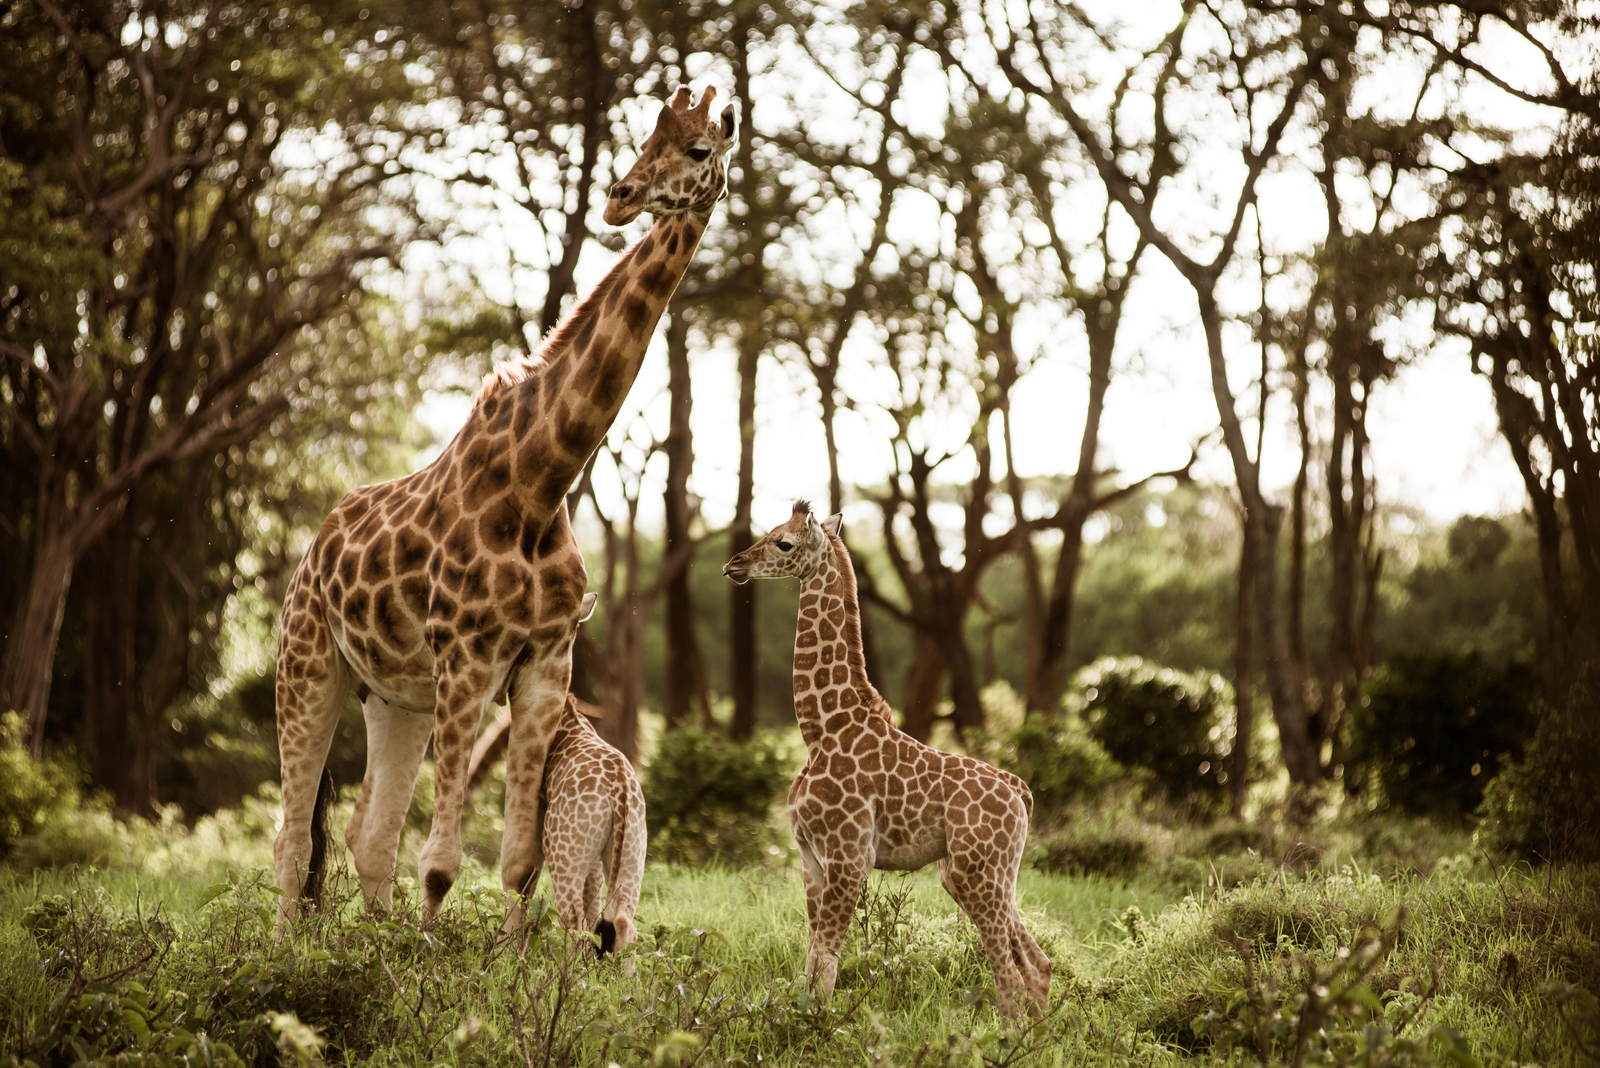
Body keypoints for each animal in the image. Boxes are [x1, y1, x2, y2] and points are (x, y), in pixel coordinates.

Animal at [272, 85, 738, 932]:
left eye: (697, 149)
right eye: (643, 137)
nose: (621, 197)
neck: (542, 480)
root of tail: (312, 549)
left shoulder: (546, 661)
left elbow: (519, 862)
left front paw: (500, 959)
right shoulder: (468, 657)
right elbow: (441, 861)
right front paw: (431, 963)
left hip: (397, 698)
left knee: (367, 834)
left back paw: (365, 947)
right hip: (309, 663)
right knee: (295, 840)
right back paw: (287, 952)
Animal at [722, 502, 1051, 1019]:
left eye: (783, 543)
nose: (734, 564)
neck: (821, 728)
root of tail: (1021, 792)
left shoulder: (849, 854)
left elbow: (827, 965)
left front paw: (818, 1026)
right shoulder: (809, 857)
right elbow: (811, 961)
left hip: (977, 871)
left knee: (1010, 978)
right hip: (980, 874)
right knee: (1038, 965)